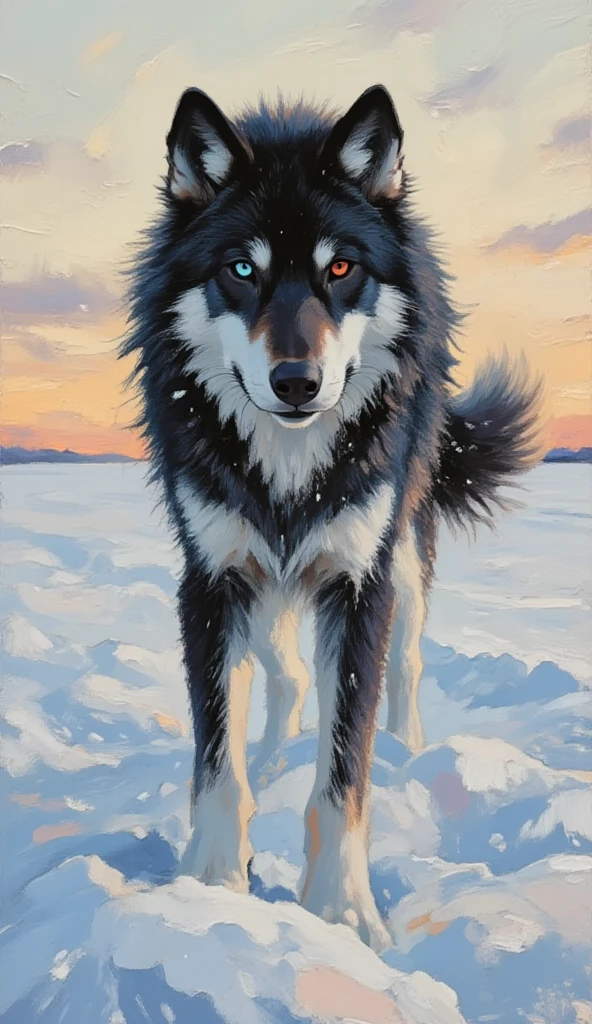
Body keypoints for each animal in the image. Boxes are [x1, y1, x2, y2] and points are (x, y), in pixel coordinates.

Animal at [122, 84, 540, 950]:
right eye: (241, 269)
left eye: (341, 268)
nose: (296, 381)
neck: (288, 465)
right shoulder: (211, 579)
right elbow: (217, 756)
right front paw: (211, 891)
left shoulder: (356, 584)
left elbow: (346, 771)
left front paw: (341, 911)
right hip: (263, 580)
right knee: (281, 677)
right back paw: (273, 761)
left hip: (404, 562)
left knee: (406, 667)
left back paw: (409, 753)